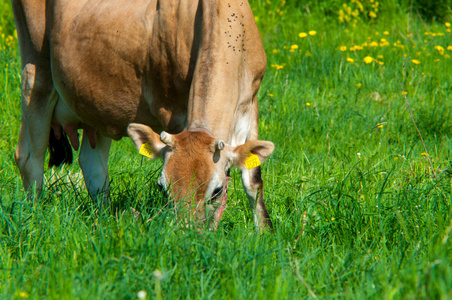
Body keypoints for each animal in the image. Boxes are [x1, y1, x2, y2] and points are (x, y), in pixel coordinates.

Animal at [13, 0, 276, 230]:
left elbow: (253, 179)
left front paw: (264, 232)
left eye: (217, 191)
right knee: (29, 158)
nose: (187, 234)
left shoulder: (251, 103)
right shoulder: (171, 112)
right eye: (162, 187)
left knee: (92, 164)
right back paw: (34, 220)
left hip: (95, 108)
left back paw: (104, 218)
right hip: (35, 73)